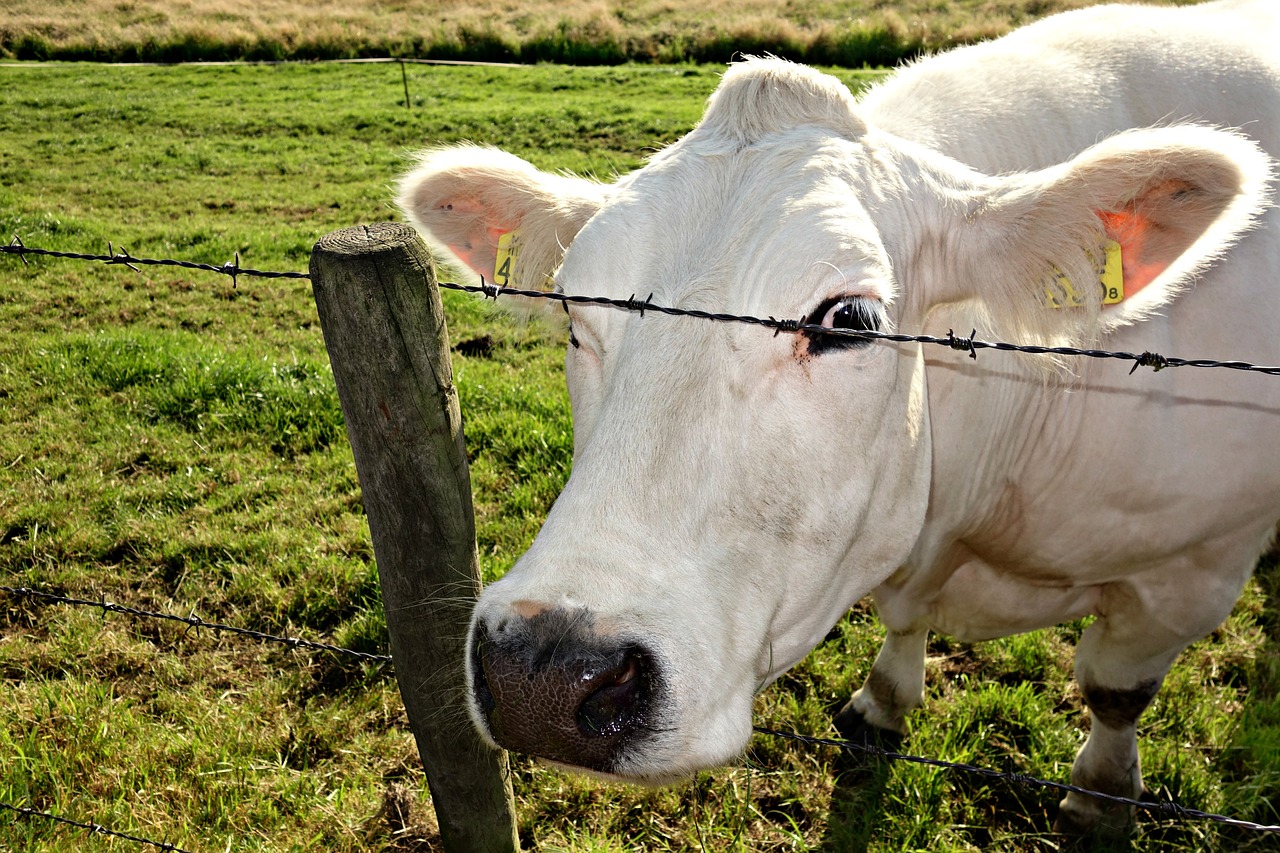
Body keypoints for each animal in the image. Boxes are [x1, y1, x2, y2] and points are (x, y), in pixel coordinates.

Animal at [399, 0, 1280, 835]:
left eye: (850, 319)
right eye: (575, 313)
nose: (544, 670)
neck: (967, 514)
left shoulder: (1195, 567)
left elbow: (1115, 691)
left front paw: (1100, 792)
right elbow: (903, 628)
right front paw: (882, 700)